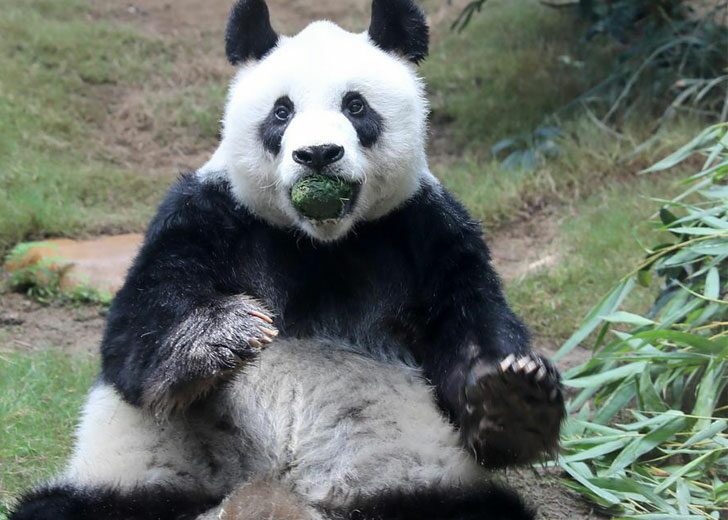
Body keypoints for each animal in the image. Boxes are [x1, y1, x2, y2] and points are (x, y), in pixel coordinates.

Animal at [11, 1, 566, 519]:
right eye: (282, 112)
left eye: (356, 105)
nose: (318, 154)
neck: (319, 241)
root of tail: (275, 495)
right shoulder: (208, 213)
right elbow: (133, 336)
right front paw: (225, 333)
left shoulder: (425, 229)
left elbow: (469, 327)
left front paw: (515, 400)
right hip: (144, 479)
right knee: (60, 508)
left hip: (407, 482)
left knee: (480, 509)